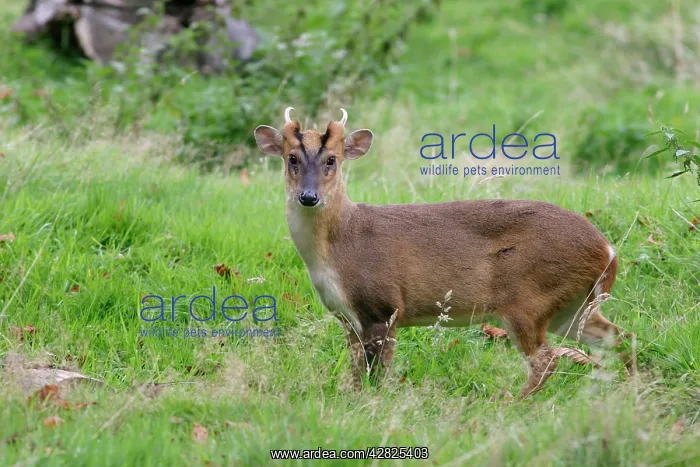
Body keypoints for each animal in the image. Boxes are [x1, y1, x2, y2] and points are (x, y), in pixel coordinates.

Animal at [254, 107, 632, 398]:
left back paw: (510, 402)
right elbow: (357, 372)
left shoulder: (383, 306)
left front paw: (372, 404)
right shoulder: (347, 317)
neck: (337, 250)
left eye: (332, 159)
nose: (308, 196)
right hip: (571, 306)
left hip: (530, 298)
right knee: (618, 335)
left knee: (546, 360)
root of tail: (607, 249)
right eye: (291, 158)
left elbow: (377, 373)